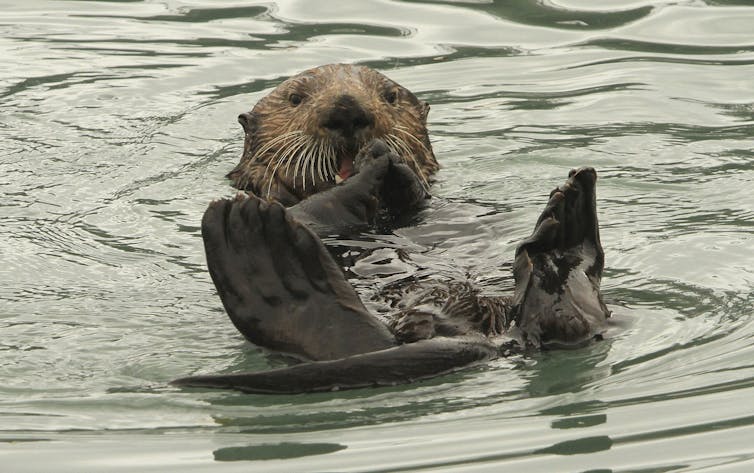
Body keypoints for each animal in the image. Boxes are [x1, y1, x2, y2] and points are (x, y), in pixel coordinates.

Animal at [172, 64, 610, 394]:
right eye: (296, 99)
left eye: (389, 97)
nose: (347, 110)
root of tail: (489, 336)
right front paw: (367, 174)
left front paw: (396, 167)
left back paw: (564, 241)